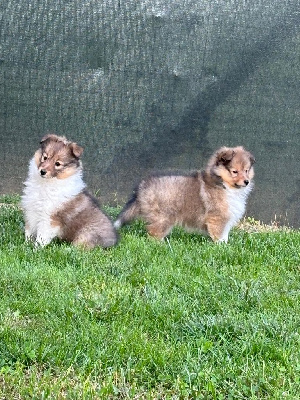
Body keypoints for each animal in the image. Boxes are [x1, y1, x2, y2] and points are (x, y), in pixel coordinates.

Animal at [115, 145, 255, 242]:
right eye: (235, 171)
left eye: (246, 170)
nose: (246, 182)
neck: (223, 184)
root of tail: (142, 186)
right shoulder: (217, 218)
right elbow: (219, 237)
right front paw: (221, 248)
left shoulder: (225, 220)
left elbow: (225, 236)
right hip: (163, 217)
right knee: (153, 232)